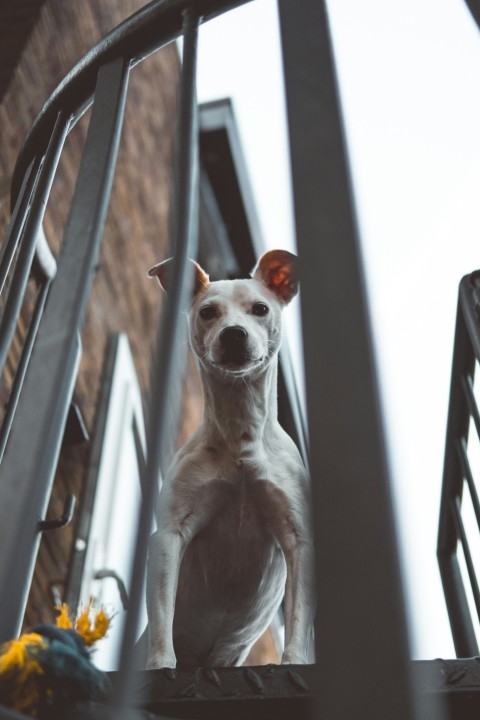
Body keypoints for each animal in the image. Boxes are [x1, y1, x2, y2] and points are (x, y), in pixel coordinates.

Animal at [144, 250, 314, 668]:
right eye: (208, 312)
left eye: (260, 308)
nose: (233, 334)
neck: (240, 436)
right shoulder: (169, 535)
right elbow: (162, 616)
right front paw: (160, 665)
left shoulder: (299, 539)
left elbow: (298, 618)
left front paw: (294, 663)